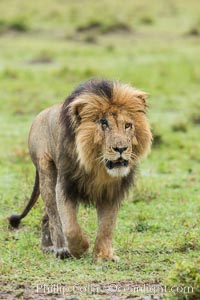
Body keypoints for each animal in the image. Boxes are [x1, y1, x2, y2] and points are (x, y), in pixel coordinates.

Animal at [7, 78, 152, 262]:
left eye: (128, 125)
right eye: (104, 123)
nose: (121, 148)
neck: (98, 166)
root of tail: (39, 115)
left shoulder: (112, 191)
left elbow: (107, 226)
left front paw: (104, 255)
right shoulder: (65, 185)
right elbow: (70, 227)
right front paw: (80, 248)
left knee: (47, 215)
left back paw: (48, 246)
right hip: (46, 170)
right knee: (53, 213)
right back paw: (60, 249)